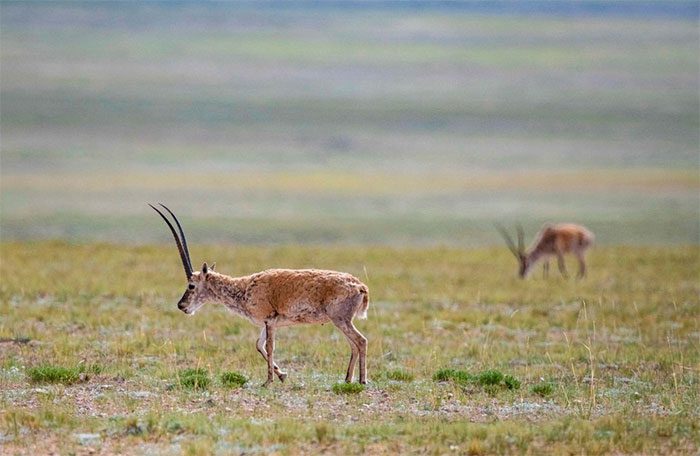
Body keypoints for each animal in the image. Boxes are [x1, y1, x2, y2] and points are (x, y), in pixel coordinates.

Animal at [150, 203, 370, 384]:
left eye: (191, 285)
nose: (181, 305)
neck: (245, 286)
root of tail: (360, 286)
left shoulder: (269, 321)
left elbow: (270, 347)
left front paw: (269, 381)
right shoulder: (267, 324)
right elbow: (258, 345)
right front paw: (282, 375)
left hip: (340, 319)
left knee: (361, 341)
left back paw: (362, 380)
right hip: (340, 321)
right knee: (353, 344)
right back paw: (347, 378)